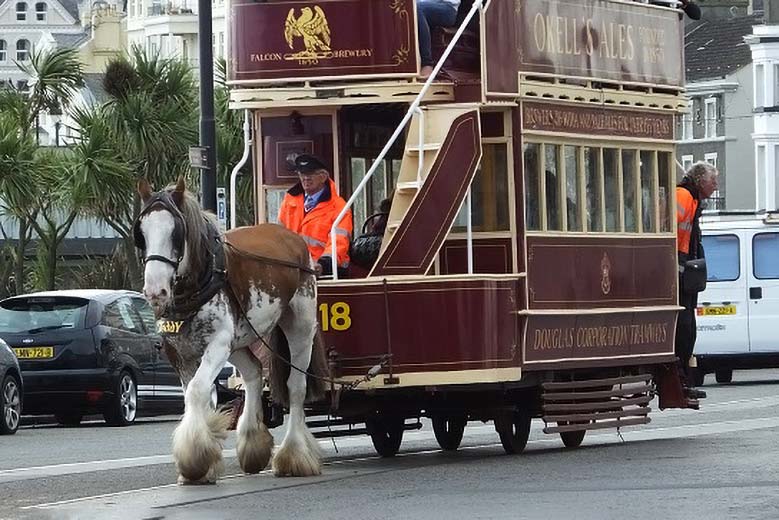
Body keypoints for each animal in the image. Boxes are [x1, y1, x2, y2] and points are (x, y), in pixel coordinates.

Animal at [134, 178, 330, 484]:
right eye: (141, 233)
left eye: (176, 233)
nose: (156, 291)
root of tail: (292, 237)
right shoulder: (180, 353)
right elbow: (196, 395)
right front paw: (205, 462)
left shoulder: (217, 345)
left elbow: (197, 391)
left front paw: (194, 460)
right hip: (239, 340)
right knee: (253, 372)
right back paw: (253, 444)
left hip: (299, 327)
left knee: (296, 388)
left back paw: (295, 454)